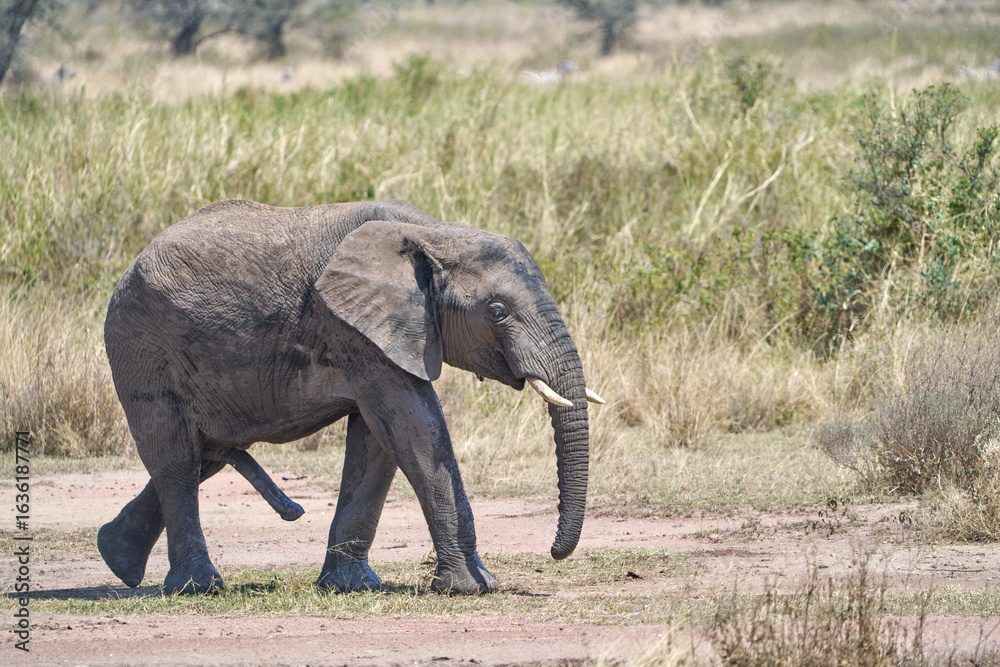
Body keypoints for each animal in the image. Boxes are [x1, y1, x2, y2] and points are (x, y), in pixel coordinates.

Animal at [97, 198, 603, 596]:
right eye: (497, 311)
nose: (553, 552)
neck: (436, 233)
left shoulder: (379, 331)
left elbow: (380, 441)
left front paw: (352, 586)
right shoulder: (353, 325)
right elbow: (414, 429)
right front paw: (474, 587)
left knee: (202, 454)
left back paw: (117, 558)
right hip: (140, 343)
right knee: (175, 458)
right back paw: (197, 587)